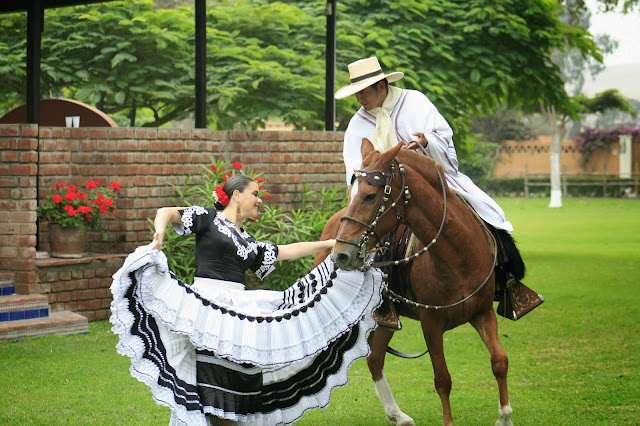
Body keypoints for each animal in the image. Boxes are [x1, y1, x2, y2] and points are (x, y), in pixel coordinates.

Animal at [318, 140, 512, 426]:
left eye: (370, 196)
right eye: (351, 193)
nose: (341, 254)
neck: (457, 257)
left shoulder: (483, 312)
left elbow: (499, 361)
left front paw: (504, 418)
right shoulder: (431, 324)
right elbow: (442, 379)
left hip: (385, 317)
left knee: (375, 359)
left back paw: (398, 415)